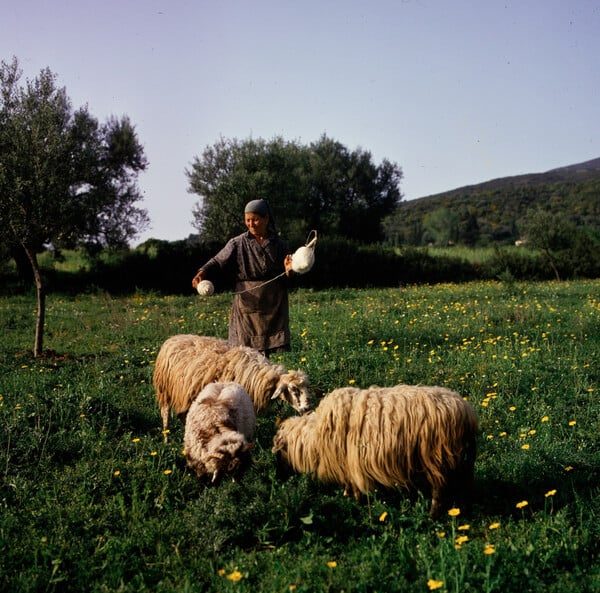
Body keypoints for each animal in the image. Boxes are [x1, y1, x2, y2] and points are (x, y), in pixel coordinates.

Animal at [152, 332, 312, 440]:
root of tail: (172, 338)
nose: (307, 409)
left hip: (183, 392)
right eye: (293, 389)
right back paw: (166, 439)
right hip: (164, 389)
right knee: (165, 414)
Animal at [272, 384, 478, 512]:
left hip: (437, 458)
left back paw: (433, 515)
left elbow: (354, 486)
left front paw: (354, 500)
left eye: (279, 453)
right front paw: (347, 495)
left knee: (439, 491)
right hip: (459, 462)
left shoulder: (349, 463)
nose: (278, 478)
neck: (312, 437)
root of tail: (467, 411)